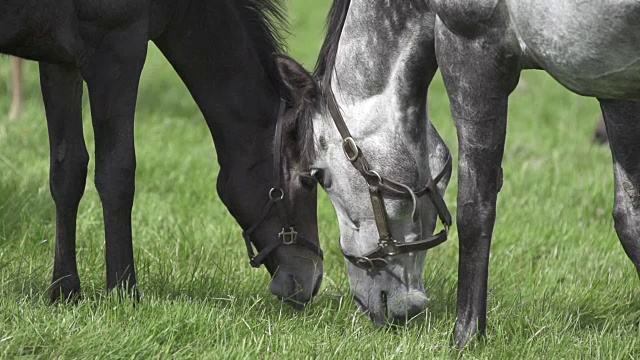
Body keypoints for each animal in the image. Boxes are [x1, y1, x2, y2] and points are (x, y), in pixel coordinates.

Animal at [0, 0, 322, 306]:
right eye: (308, 180)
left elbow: (67, 173)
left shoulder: (59, 62)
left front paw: (65, 291)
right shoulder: (117, 52)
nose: (314, 278)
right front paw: (124, 292)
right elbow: (116, 173)